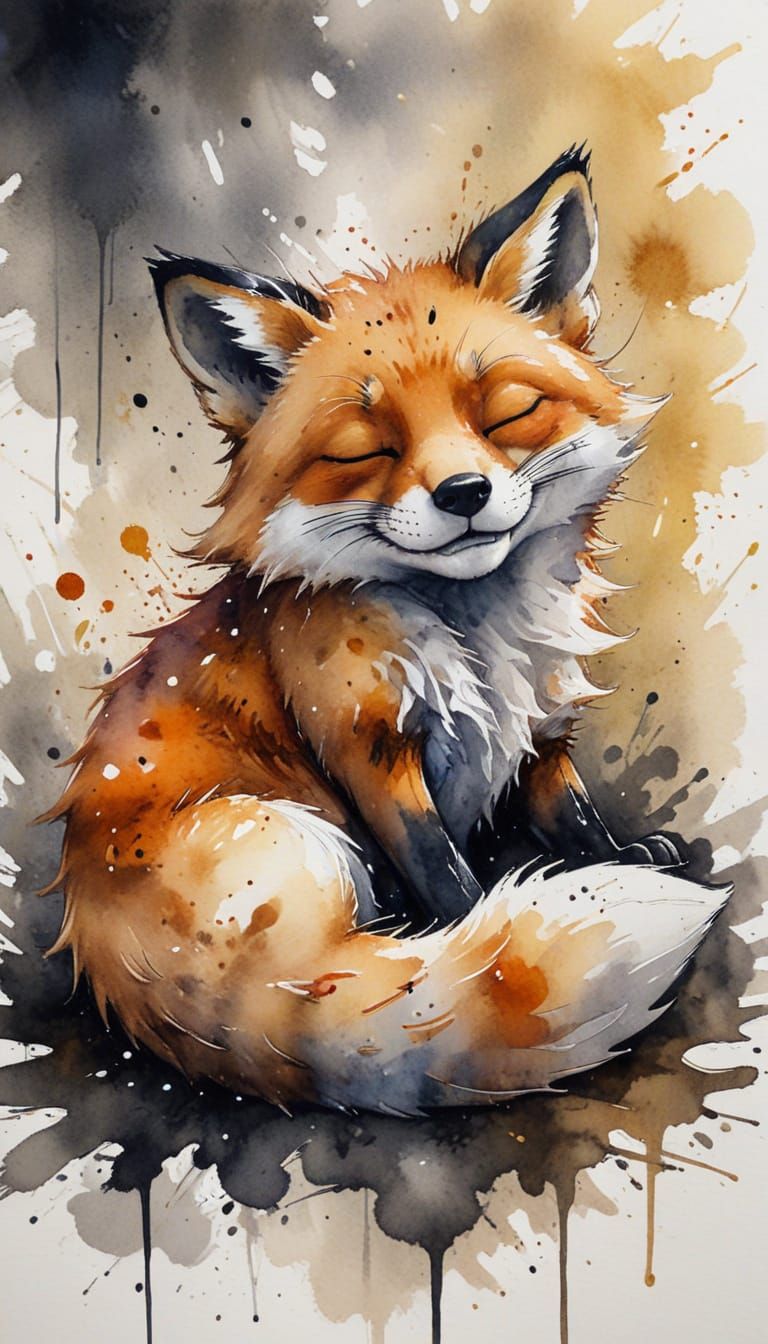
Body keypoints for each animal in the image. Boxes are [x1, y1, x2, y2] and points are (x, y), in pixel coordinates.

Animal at [45, 148, 727, 1114]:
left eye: (505, 410)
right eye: (366, 448)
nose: (464, 493)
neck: (480, 640)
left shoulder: (540, 726)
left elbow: (569, 813)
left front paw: (621, 854)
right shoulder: (368, 747)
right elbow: (442, 867)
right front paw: (473, 924)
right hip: (291, 832)